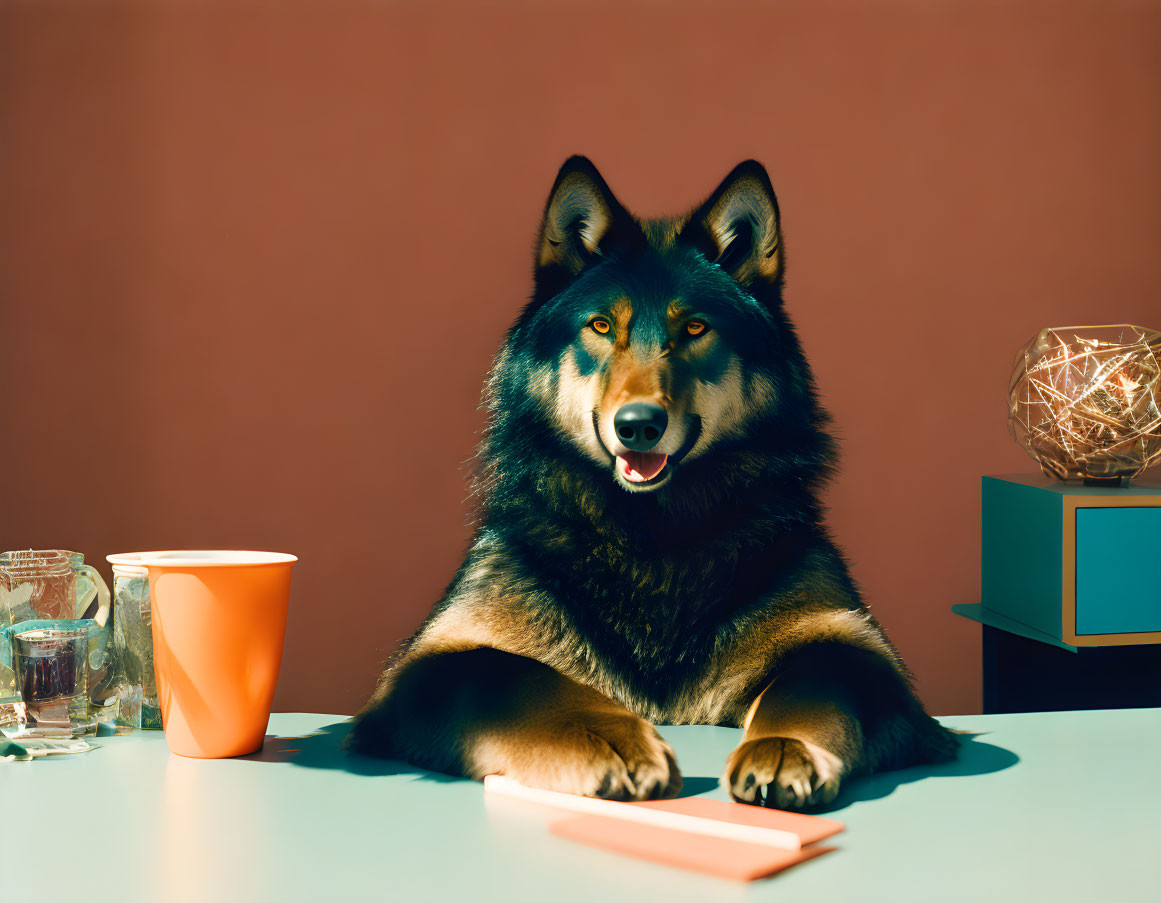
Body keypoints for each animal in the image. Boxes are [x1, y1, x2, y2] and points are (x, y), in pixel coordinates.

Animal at [348, 156, 956, 807]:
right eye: (599, 325)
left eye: (694, 328)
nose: (638, 426)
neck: (651, 537)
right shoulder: (432, 658)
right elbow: (513, 674)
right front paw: (609, 737)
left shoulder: (856, 646)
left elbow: (813, 687)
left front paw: (784, 747)